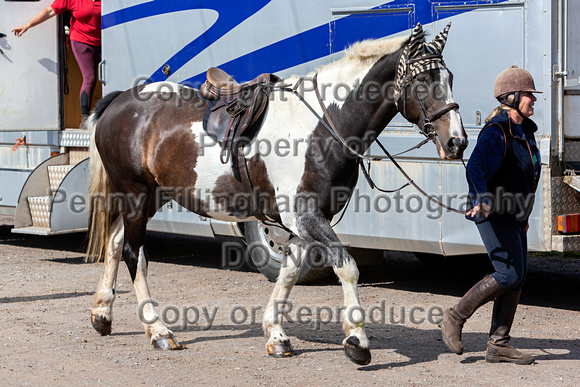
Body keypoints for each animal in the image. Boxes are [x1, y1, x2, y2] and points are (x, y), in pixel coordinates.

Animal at [85, 22, 466, 366]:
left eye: (449, 78)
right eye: (422, 81)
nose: (456, 142)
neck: (322, 125)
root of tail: (120, 100)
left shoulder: (305, 222)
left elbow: (289, 273)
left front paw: (277, 335)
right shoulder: (304, 216)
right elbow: (347, 266)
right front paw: (356, 341)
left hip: (152, 195)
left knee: (116, 241)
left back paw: (102, 314)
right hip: (135, 193)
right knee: (134, 253)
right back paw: (159, 331)